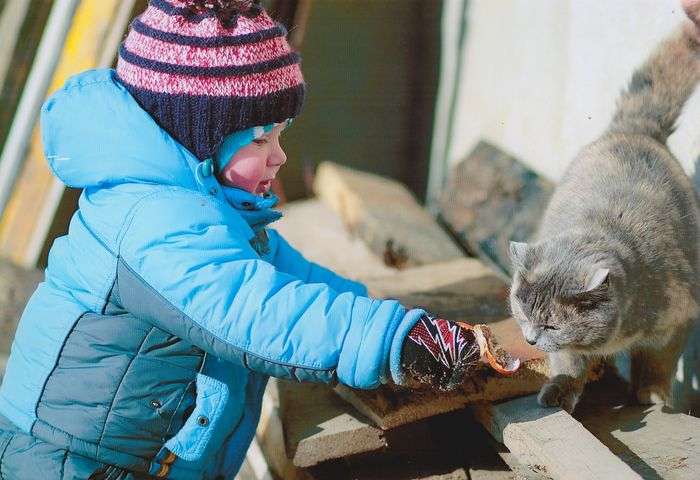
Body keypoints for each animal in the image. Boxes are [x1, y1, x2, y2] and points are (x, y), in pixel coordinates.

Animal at [508, 25, 700, 412]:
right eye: (523, 312)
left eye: (551, 326)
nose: (532, 340)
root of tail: (637, 128)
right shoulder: (568, 351)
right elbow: (568, 362)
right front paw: (560, 390)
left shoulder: (680, 318)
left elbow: (658, 362)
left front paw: (652, 394)